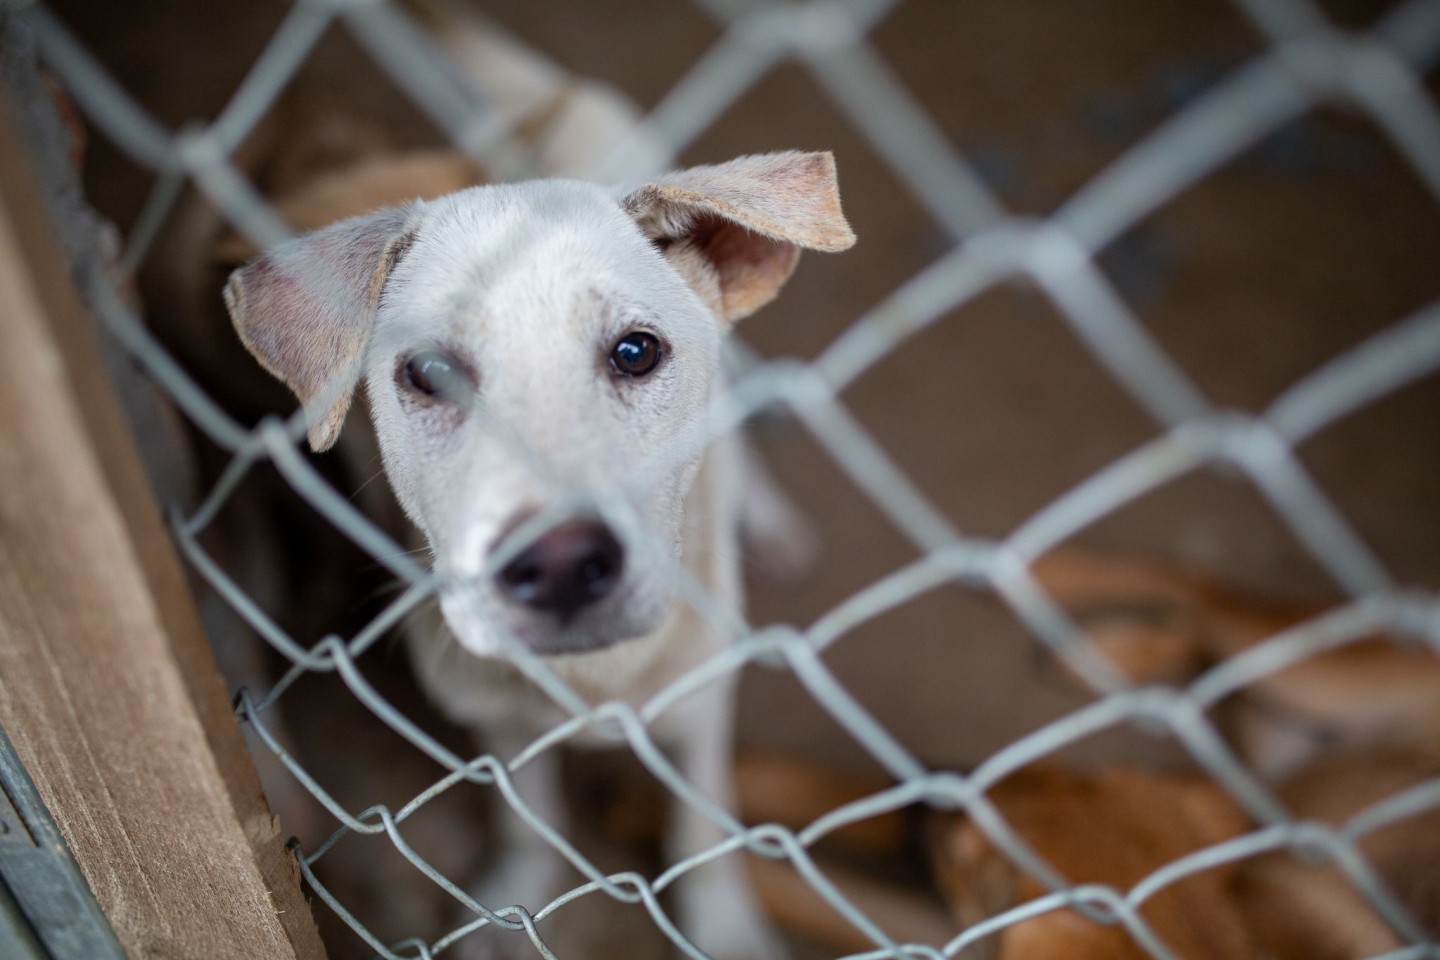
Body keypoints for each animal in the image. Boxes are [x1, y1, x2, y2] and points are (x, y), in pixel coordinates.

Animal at [221, 151, 852, 960]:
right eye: (429, 371)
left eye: (636, 352)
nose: (557, 565)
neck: (588, 678)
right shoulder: (500, 728)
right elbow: (528, 818)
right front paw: (507, 908)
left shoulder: (703, 708)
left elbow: (702, 828)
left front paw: (725, 929)